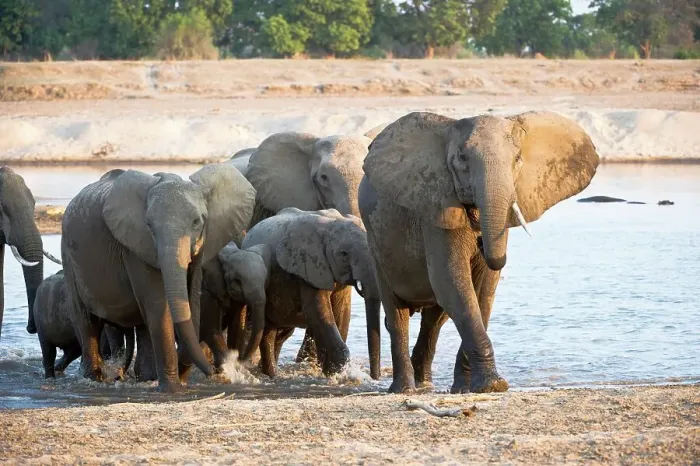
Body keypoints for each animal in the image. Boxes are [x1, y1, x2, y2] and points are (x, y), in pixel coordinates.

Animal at [61, 164, 256, 392]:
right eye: (149, 225)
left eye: (197, 222)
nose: (221, 373)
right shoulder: (135, 248)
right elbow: (158, 308)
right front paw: (174, 390)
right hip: (69, 258)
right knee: (85, 320)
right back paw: (94, 378)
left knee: (142, 327)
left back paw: (145, 378)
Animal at [241, 208, 381, 378]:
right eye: (344, 254)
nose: (374, 377)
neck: (330, 225)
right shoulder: (308, 267)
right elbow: (318, 311)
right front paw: (337, 373)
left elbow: (341, 312)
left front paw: (330, 370)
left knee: (277, 333)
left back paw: (270, 372)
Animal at [358, 111, 600, 394]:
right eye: (462, 159)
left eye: (517, 159)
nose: (482, 243)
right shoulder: (434, 212)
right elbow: (452, 281)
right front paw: (493, 385)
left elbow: (483, 292)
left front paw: (468, 388)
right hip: (375, 245)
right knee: (397, 315)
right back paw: (405, 389)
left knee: (435, 319)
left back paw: (425, 382)